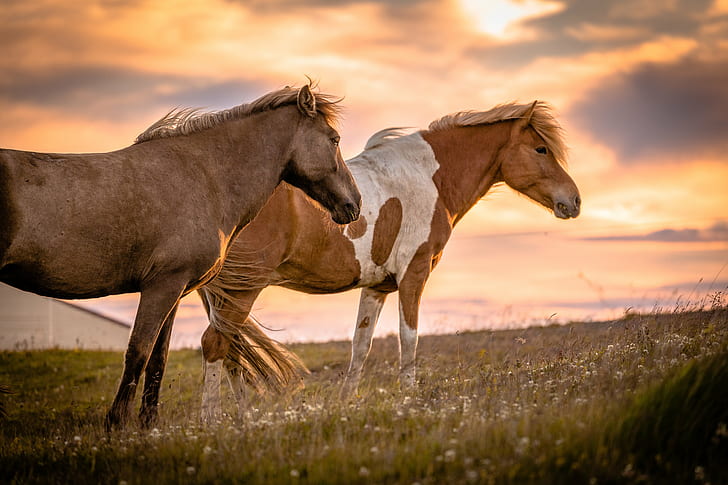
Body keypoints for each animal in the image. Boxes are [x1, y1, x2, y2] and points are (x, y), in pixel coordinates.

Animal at [0, 83, 362, 428]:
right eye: (334, 139)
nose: (354, 205)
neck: (203, 178)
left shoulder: (173, 291)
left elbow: (158, 358)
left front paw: (149, 425)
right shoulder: (162, 286)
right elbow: (138, 351)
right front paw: (117, 425)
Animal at [198, 99, 580, 420]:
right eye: (541, 149)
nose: (574, 201)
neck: (431, 178)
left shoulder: (377, 287)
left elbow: (360, 345)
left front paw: (346, 402)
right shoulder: (414, 274)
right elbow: (408, 338)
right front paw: (408, 398)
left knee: (231, 350)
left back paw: (244, 416)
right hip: (244, 289)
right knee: (216, 344)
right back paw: (210, 420)